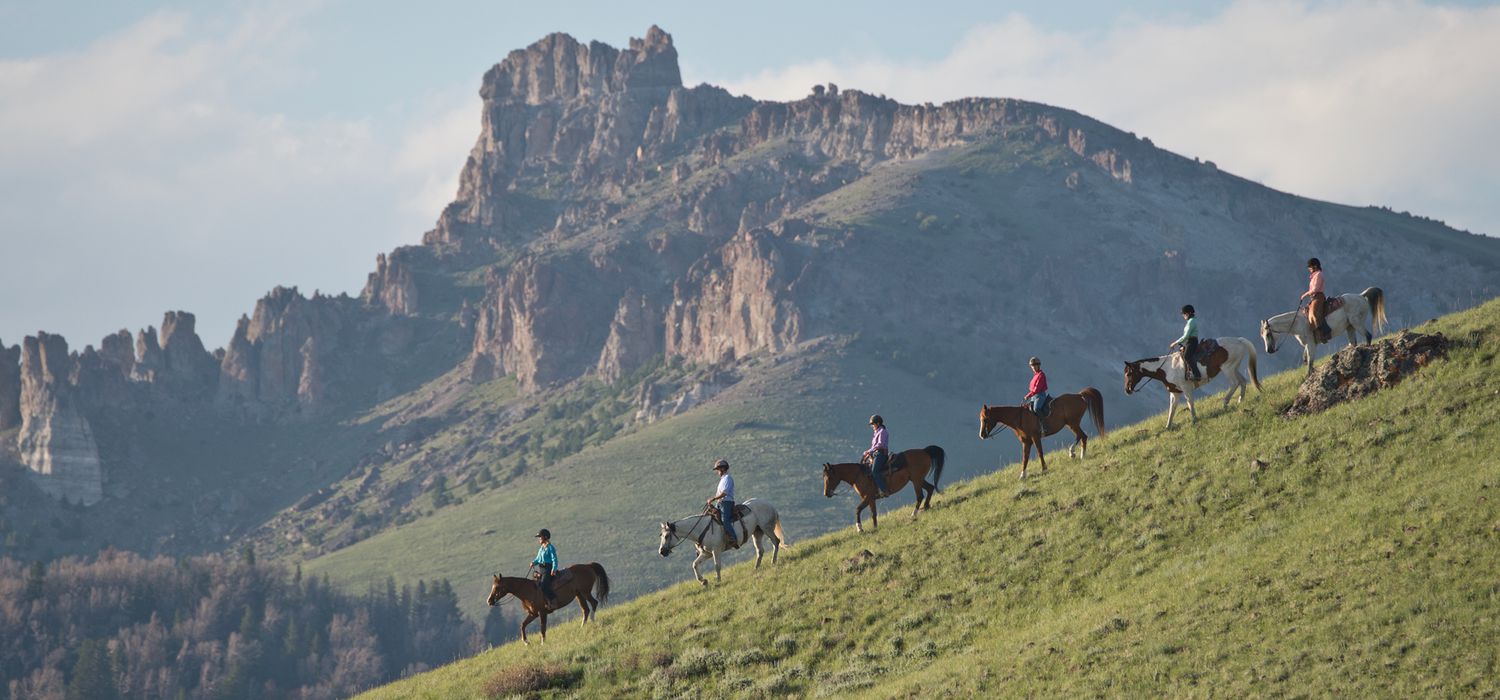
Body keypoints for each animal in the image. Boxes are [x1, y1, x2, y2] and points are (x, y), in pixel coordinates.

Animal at [660, 497, 792, 587]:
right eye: (661, 535)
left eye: (667, 536)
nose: (661, 552)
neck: (701, 528)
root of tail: (770, 505)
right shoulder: (706, 553)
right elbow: (695, 564)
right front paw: (703, 581)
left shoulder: (716, 551)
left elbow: (717, 565)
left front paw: (718, 580)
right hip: (757, 532)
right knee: (760, 550)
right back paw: (756, 568)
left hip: (767, 528)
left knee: (776, 542)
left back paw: (773, 562)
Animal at [978, 389, 1110, 482]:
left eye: (985, 419)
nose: (982, 435)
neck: (1019, 417)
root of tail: (1079, 396)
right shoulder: (1026, 441)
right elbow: (1025, 457)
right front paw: (1022, 475)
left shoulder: (1035, 437)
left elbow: (1040, 452)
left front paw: (1044, 469)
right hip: (1071, 424)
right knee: (1080, 436)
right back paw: (1073, 453)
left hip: (1073, 423)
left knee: (1083, 436)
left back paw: (1080, 455)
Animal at [1122, 334, 1260, 428]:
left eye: (1129, 373)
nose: (1127, 390)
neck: (1167, 368)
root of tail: (1239, 340)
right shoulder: (1175, 392)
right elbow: (1172, 408)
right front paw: (1168, 426)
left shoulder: (1186, 388)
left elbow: (1190, 403)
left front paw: (1194, 419)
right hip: (1234, 368)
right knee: (1243, 381)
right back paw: (1240, 400)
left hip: (1228, 368)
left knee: (1234, 383)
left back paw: (1225, 402)